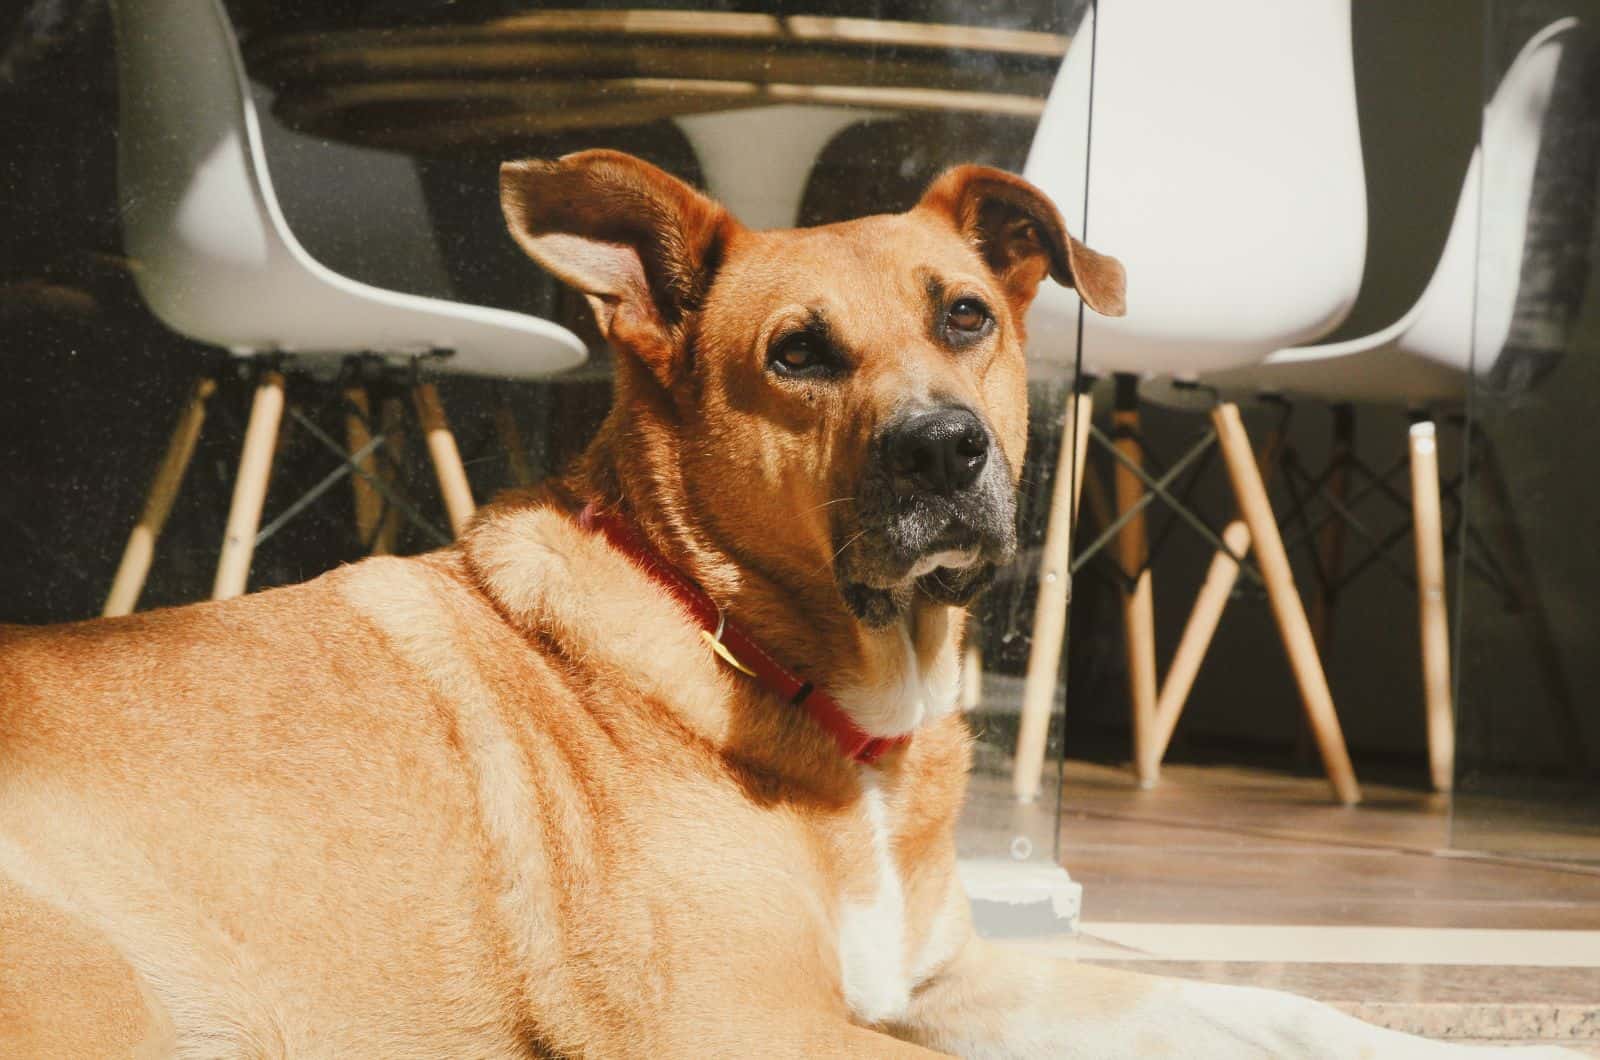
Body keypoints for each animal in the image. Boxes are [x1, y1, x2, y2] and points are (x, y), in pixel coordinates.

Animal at [0, 151, 1574, 1060]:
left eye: (965, 316)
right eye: (799, 355)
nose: (947, 452)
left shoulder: (944, 979)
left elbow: (1267, 1001)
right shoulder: (749, 1024)